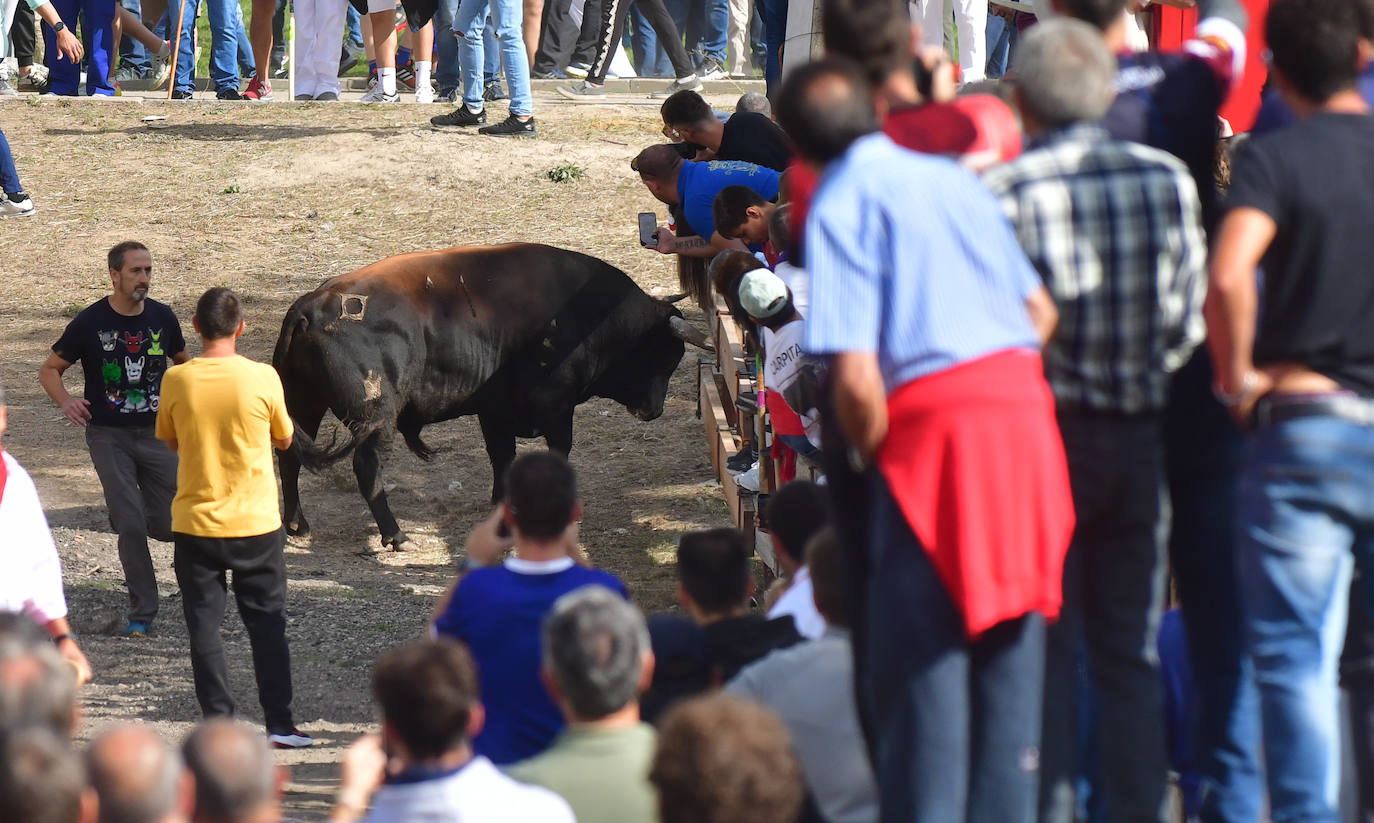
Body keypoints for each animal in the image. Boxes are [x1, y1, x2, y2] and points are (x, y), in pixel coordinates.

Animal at [273, 243, 714, 546]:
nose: (653, 411)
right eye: (664, 356)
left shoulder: (495, 412)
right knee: (366, 467)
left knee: (289, 456)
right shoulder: (556, 407)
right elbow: (556, 452)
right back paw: (394, 534)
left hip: (304, 404)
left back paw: (297, 523)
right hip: (375, 417)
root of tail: (308, 309)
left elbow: (501, 458)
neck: (587, 313)